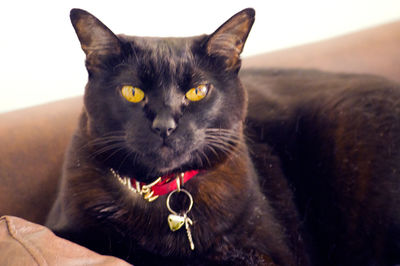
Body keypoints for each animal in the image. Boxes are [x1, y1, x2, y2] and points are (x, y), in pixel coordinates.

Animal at [47, 7, 400, 264]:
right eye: (132, 92)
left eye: (198, 91)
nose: (165, 125)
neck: (164, 199)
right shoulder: (66, 230)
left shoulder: (267, 252)